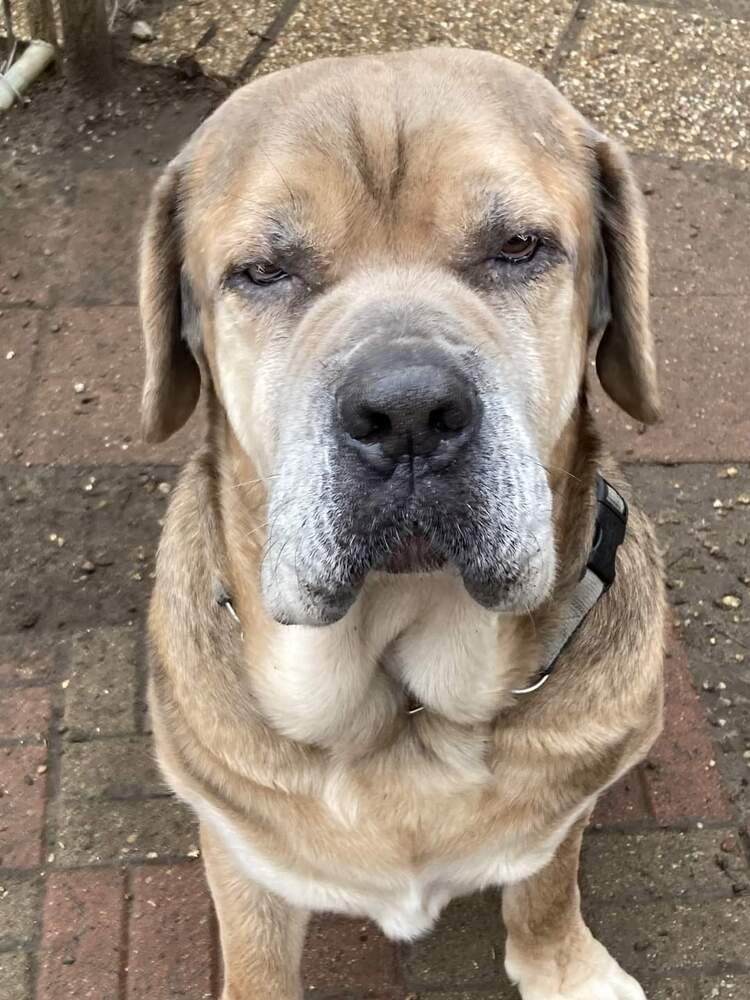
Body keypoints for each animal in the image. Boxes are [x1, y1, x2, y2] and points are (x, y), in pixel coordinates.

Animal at [142, 48, 668, 1000]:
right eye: (264, 271)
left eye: (519, 247)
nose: (410, 413)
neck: (401, 705)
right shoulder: (242, 855)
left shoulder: (563, 813)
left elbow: (546, 884)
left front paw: (563, 965)